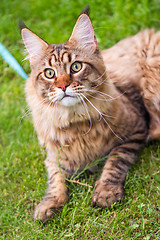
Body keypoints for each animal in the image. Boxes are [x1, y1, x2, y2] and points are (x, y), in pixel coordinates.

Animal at [20, 8, 159, 223]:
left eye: (76, 67)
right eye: (49, 73)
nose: (63, 86)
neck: (75, 122)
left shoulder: (136, 130)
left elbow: (115, 162)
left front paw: (105, 191)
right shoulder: (53, 156)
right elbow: (55, 179)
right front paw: (49, 204)